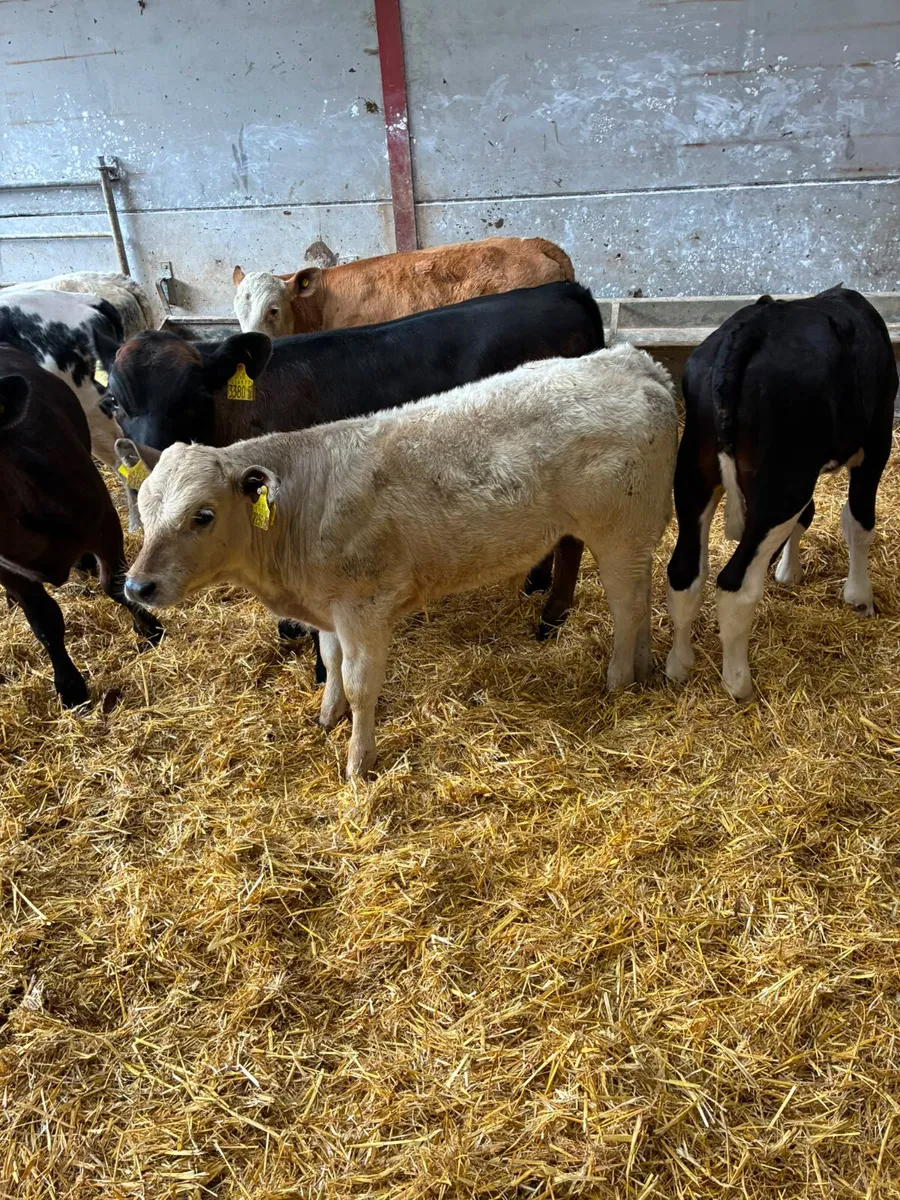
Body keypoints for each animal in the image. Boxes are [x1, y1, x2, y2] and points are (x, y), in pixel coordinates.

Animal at [0, 346, 162, 707]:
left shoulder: (104, 522)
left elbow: (114, 583)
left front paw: (149, 628)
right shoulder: (9, 570)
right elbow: (44, 620)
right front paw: (69, 685)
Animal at [104, 281, 605, 653]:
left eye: (195, 395)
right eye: (113, 402)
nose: (149, 457)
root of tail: (564, 289)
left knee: (574, 539)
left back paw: (552, 618)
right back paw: (536, 583)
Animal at [124, 344, 677, 778]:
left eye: (203, 515)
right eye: (144, 508)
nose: (136, 587)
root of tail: (632, 360)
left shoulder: (365, 608)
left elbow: (360, 684)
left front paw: (357, 761)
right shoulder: (329, 608)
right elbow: (330, 661)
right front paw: (326, 718)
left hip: (618, 533)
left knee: (627, 607)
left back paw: (618, 680)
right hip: (637, 537)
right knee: (643, 595)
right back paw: (645, 668)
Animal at [665, 285, 897, 702]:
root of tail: (751, 329)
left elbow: (808, 517)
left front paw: (789, 572)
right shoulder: (876, 442)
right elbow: (858, 521)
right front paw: (859, 597)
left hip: (694, 469)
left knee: (684, 572)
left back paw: (679, 666)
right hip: (782, 484)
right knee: (735, 584)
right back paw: (738, 683)